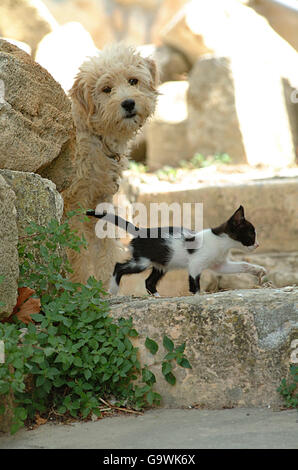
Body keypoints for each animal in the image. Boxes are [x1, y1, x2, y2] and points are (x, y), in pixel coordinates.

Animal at [64, 44, 159, 286]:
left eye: (133, 81)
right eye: (106, 89)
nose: (128, 103)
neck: (96, 137)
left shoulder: (100, 201)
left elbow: (105, 249)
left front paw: (103, 287)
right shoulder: (73, 205)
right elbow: (77, 255)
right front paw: (78, 289)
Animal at [85, 207, 266, 296]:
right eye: (251, 234)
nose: (257, 245)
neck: (222, 243)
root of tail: (142, 231)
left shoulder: (220, 265)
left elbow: (242, 265)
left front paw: (258, 270)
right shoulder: (195, 265)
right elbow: (195, 285)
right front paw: (197, 297)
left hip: (162, 265)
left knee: (149, 282)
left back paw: (157, 298)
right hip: (142, 262)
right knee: (118, 267)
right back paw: (114, 290)